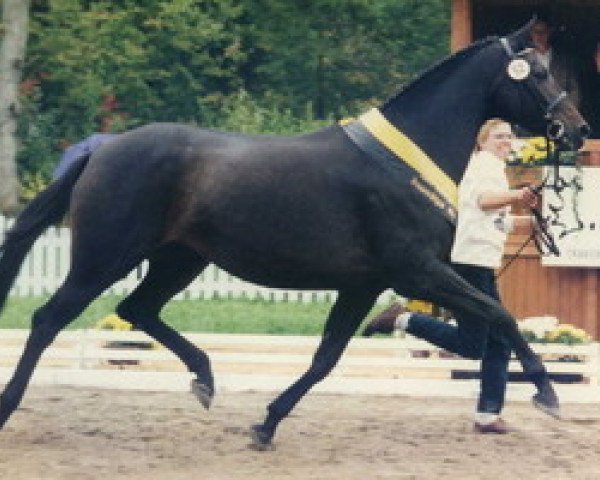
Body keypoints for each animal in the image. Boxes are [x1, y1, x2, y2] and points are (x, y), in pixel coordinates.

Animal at [0, 20, 588, 450]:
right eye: (537, 73)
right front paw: (548, 395)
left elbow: (326, 357)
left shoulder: (365, 284)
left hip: (179, 259)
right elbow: (499, 315)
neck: (403, 163)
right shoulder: (417, 271)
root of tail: (102, 148)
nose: (578, 130)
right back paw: (9, 408)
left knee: (138, 309)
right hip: (105, 258)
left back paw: (205, 379)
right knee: (49, 319)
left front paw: (266, 424)